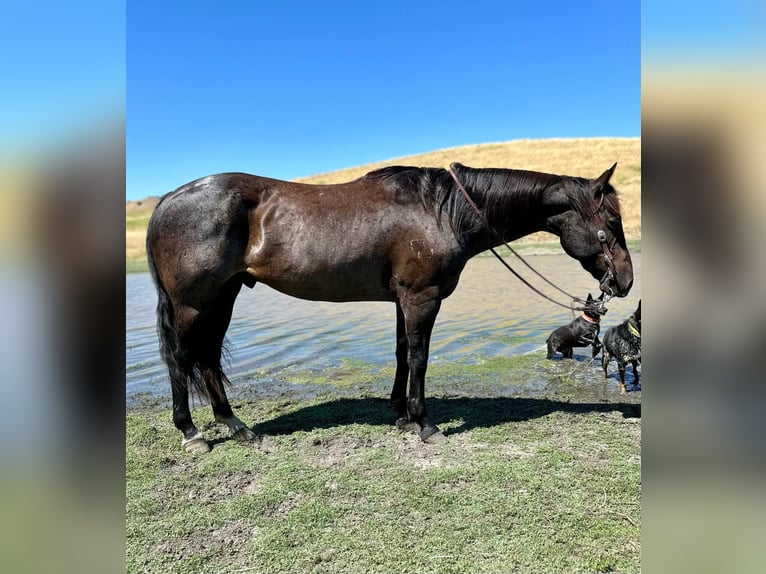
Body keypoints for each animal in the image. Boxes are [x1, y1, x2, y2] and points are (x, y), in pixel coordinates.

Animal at [146, 162, 636, 454]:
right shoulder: (422, 297)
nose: (626, 281)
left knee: (208, 360)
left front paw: (400, 414)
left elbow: (403, 354)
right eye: (612, 222)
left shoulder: (405, 300)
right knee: (180, 359)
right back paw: (191, 432)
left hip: (221, 299)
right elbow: (419, 357)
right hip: (193, 304)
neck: (442, 211)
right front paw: (423, 423)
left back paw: (234, 425)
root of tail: (168, 199)